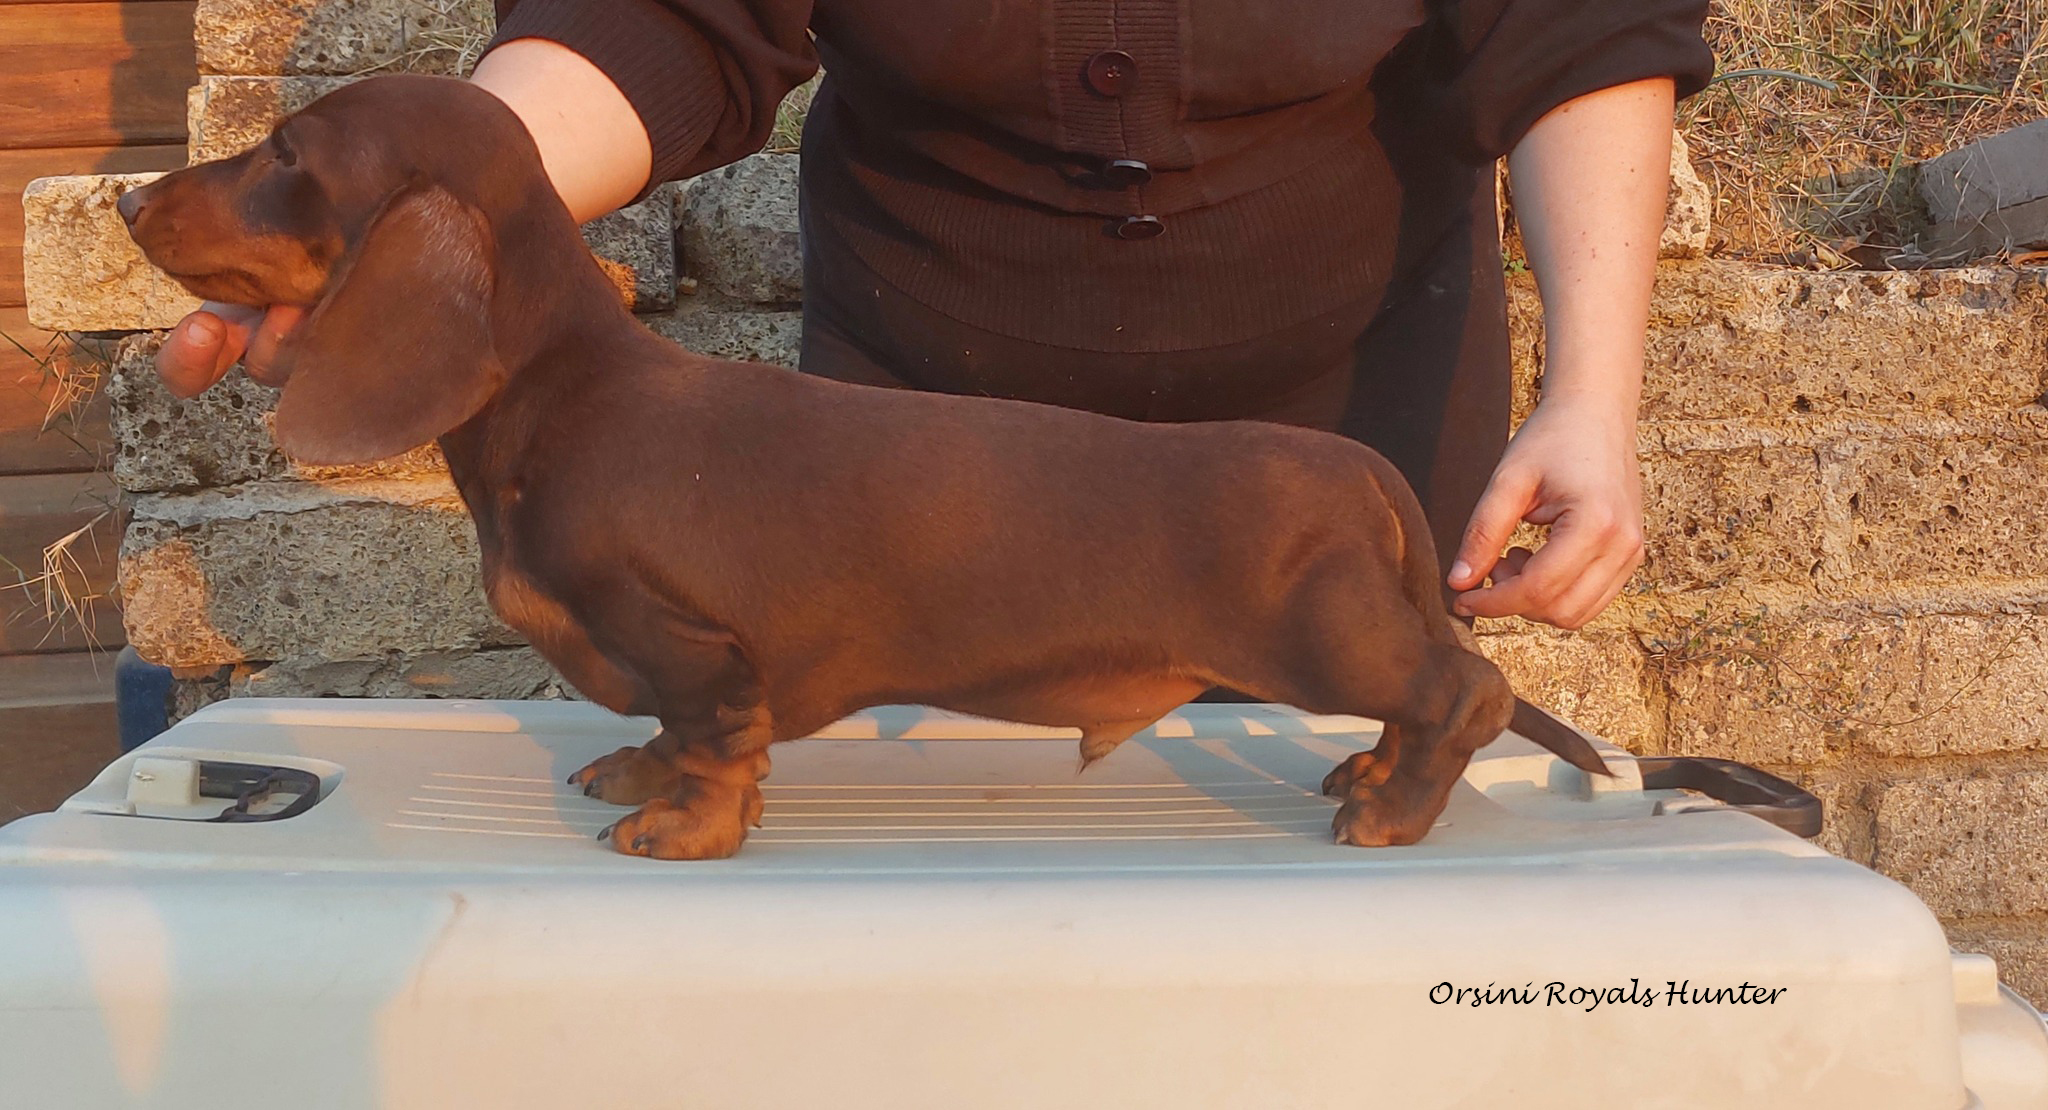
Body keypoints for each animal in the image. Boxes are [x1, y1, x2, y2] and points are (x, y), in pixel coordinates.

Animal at [119, 78, 1605, 860]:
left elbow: (715, 740)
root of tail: (1358, 469)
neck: (561, 397)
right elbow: (666, 735)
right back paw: (1367, 780)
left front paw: (683, 829)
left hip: (1325, 633)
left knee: (1464, 693)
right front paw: (638, 777)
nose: (127, 198)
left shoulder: (698, 644)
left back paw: (1393, 809)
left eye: (287, 153)